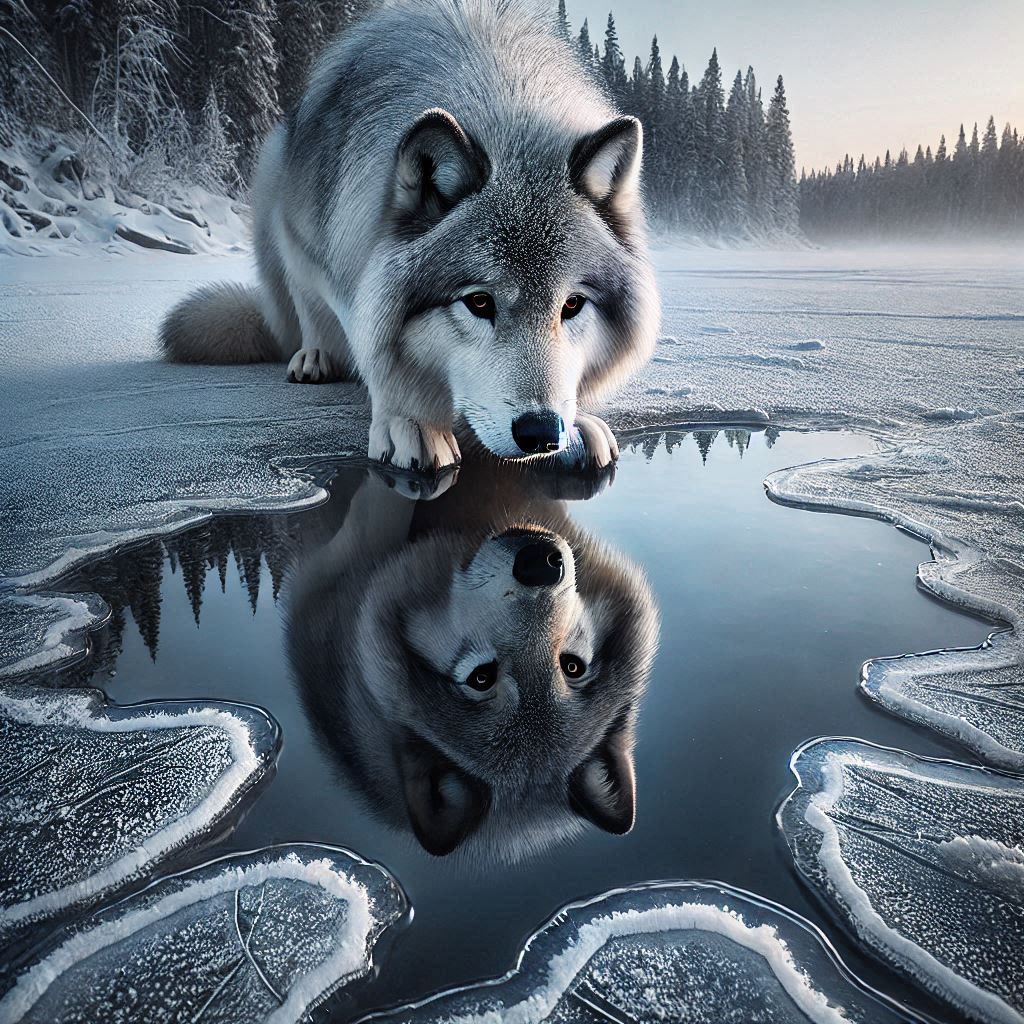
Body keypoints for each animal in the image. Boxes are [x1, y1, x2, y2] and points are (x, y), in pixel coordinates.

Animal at [161, 0, 659, 472]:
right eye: (479, 302)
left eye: (571, 305)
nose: (541, 432)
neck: (501, 105)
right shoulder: (318, 239)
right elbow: (368, 338)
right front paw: (409, 419)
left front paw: (579, 425)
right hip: (273, 185)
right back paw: (314, 357)